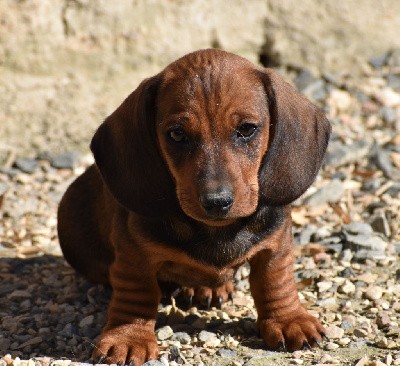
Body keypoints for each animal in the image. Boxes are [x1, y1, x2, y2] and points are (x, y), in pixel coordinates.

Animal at [57, 49, 332, 366]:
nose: (217, 202)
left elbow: (275, 280)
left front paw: (289, 320)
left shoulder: (276, 243)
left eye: (247, 129)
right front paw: (128, 337)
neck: (215, 231)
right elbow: (137, 292)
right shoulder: (132, 255)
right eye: (177, 134)